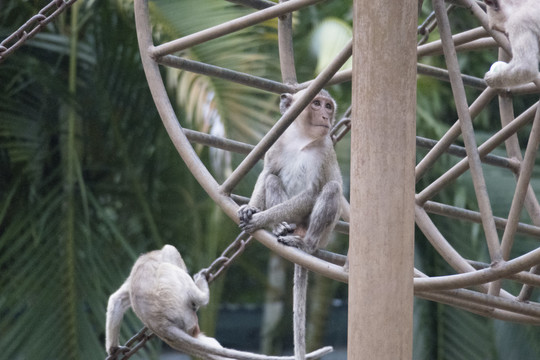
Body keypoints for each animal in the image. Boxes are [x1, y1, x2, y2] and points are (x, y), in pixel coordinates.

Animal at [104, 245, 334, 360]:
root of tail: (160, 324)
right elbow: (171, 254)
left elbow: (117, 300)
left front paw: (114, 350)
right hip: (178, 308)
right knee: (170, 262)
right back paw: (201, 295)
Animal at [237, 88, 346, 360]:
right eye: (316, 103)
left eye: (328, 106)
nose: (325, 115)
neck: (301, 139)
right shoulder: (278, 143)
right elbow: (267, 173)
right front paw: (251, 209)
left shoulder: (325, 149)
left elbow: (312, 192)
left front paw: (259, 219)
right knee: (273, 180)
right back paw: (282, 227)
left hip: (323, 234)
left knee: (331, 188)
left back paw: (305, 244)